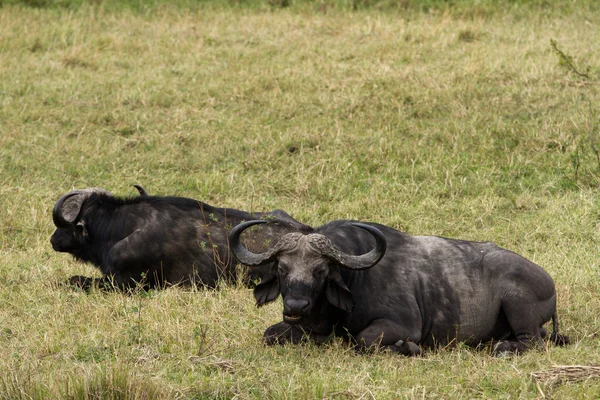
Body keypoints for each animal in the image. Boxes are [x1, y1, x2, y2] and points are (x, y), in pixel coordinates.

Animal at [229, 219, 568, 356]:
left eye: (321, 270)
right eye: (282, 269)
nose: (296, 306)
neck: (357, 278)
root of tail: (547, 281)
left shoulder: (403, 325)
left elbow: (363, 340)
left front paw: (408, 348)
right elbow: (270, 334)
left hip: (517, 303)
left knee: (532, 342)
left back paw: (502, 348)